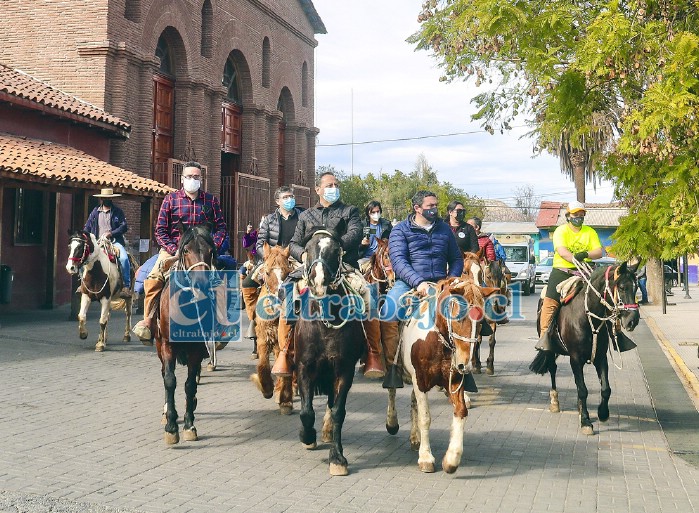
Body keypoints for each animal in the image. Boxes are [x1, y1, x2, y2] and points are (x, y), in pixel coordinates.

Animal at [156, 224, 219, 444]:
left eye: (211, 251)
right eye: (185, 250)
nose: (201, 283)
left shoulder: (196, 350)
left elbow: (190, 384)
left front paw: (189, 424)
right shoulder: (167, 345)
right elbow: (169, 381)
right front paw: (171, 427)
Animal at [249, 242, 296, 414]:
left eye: (287, 271)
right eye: (268, 272)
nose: (279, 299)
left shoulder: (282, 341)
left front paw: (285, 400)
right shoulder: (264, 338)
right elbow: (263, 364)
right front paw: (266, 388)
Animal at [292, 228, 364, 476]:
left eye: (336, 250)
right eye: (308, 248)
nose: (319, 281)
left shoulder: (344, 369)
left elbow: (338, 412)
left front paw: (337, 458)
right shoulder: (304, 366)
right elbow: (306, 412)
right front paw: (307, 436)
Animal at [396, 276, 500, 472]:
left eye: (480, 321)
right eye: (459, 317)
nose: (466, 364)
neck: (437, 340)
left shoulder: (455, 380)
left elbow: (461, 412)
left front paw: (452, 459)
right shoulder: (420, 380)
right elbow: (425, 417)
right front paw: (426, 457)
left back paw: (415, 438)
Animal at [532, 262, 640, 434]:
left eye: (636, 287)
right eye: (622, 287)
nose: (633, 320)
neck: (586, 317)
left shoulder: (600, 357)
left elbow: (605, 389)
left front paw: (602, 413)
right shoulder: (575, 359)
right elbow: (582, 390)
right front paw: (586, 421)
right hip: (551, 348)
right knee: (553, 368)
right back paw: (555, 402)